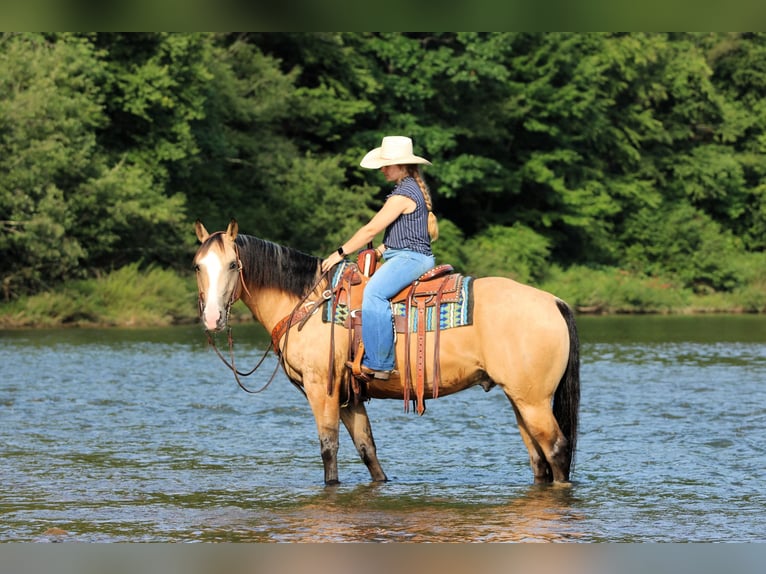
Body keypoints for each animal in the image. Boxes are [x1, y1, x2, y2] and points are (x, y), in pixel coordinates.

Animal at [193, 219, 580, 486]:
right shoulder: (349, 396)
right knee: (538, 459)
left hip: (533, 401)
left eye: (232, 265)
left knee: (557, 451)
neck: (308, 303)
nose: (212, 318)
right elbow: (368, 451)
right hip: (520, 399)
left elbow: (328, 449)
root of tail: (553, 301)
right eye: (197, 265)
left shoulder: (322, 389)